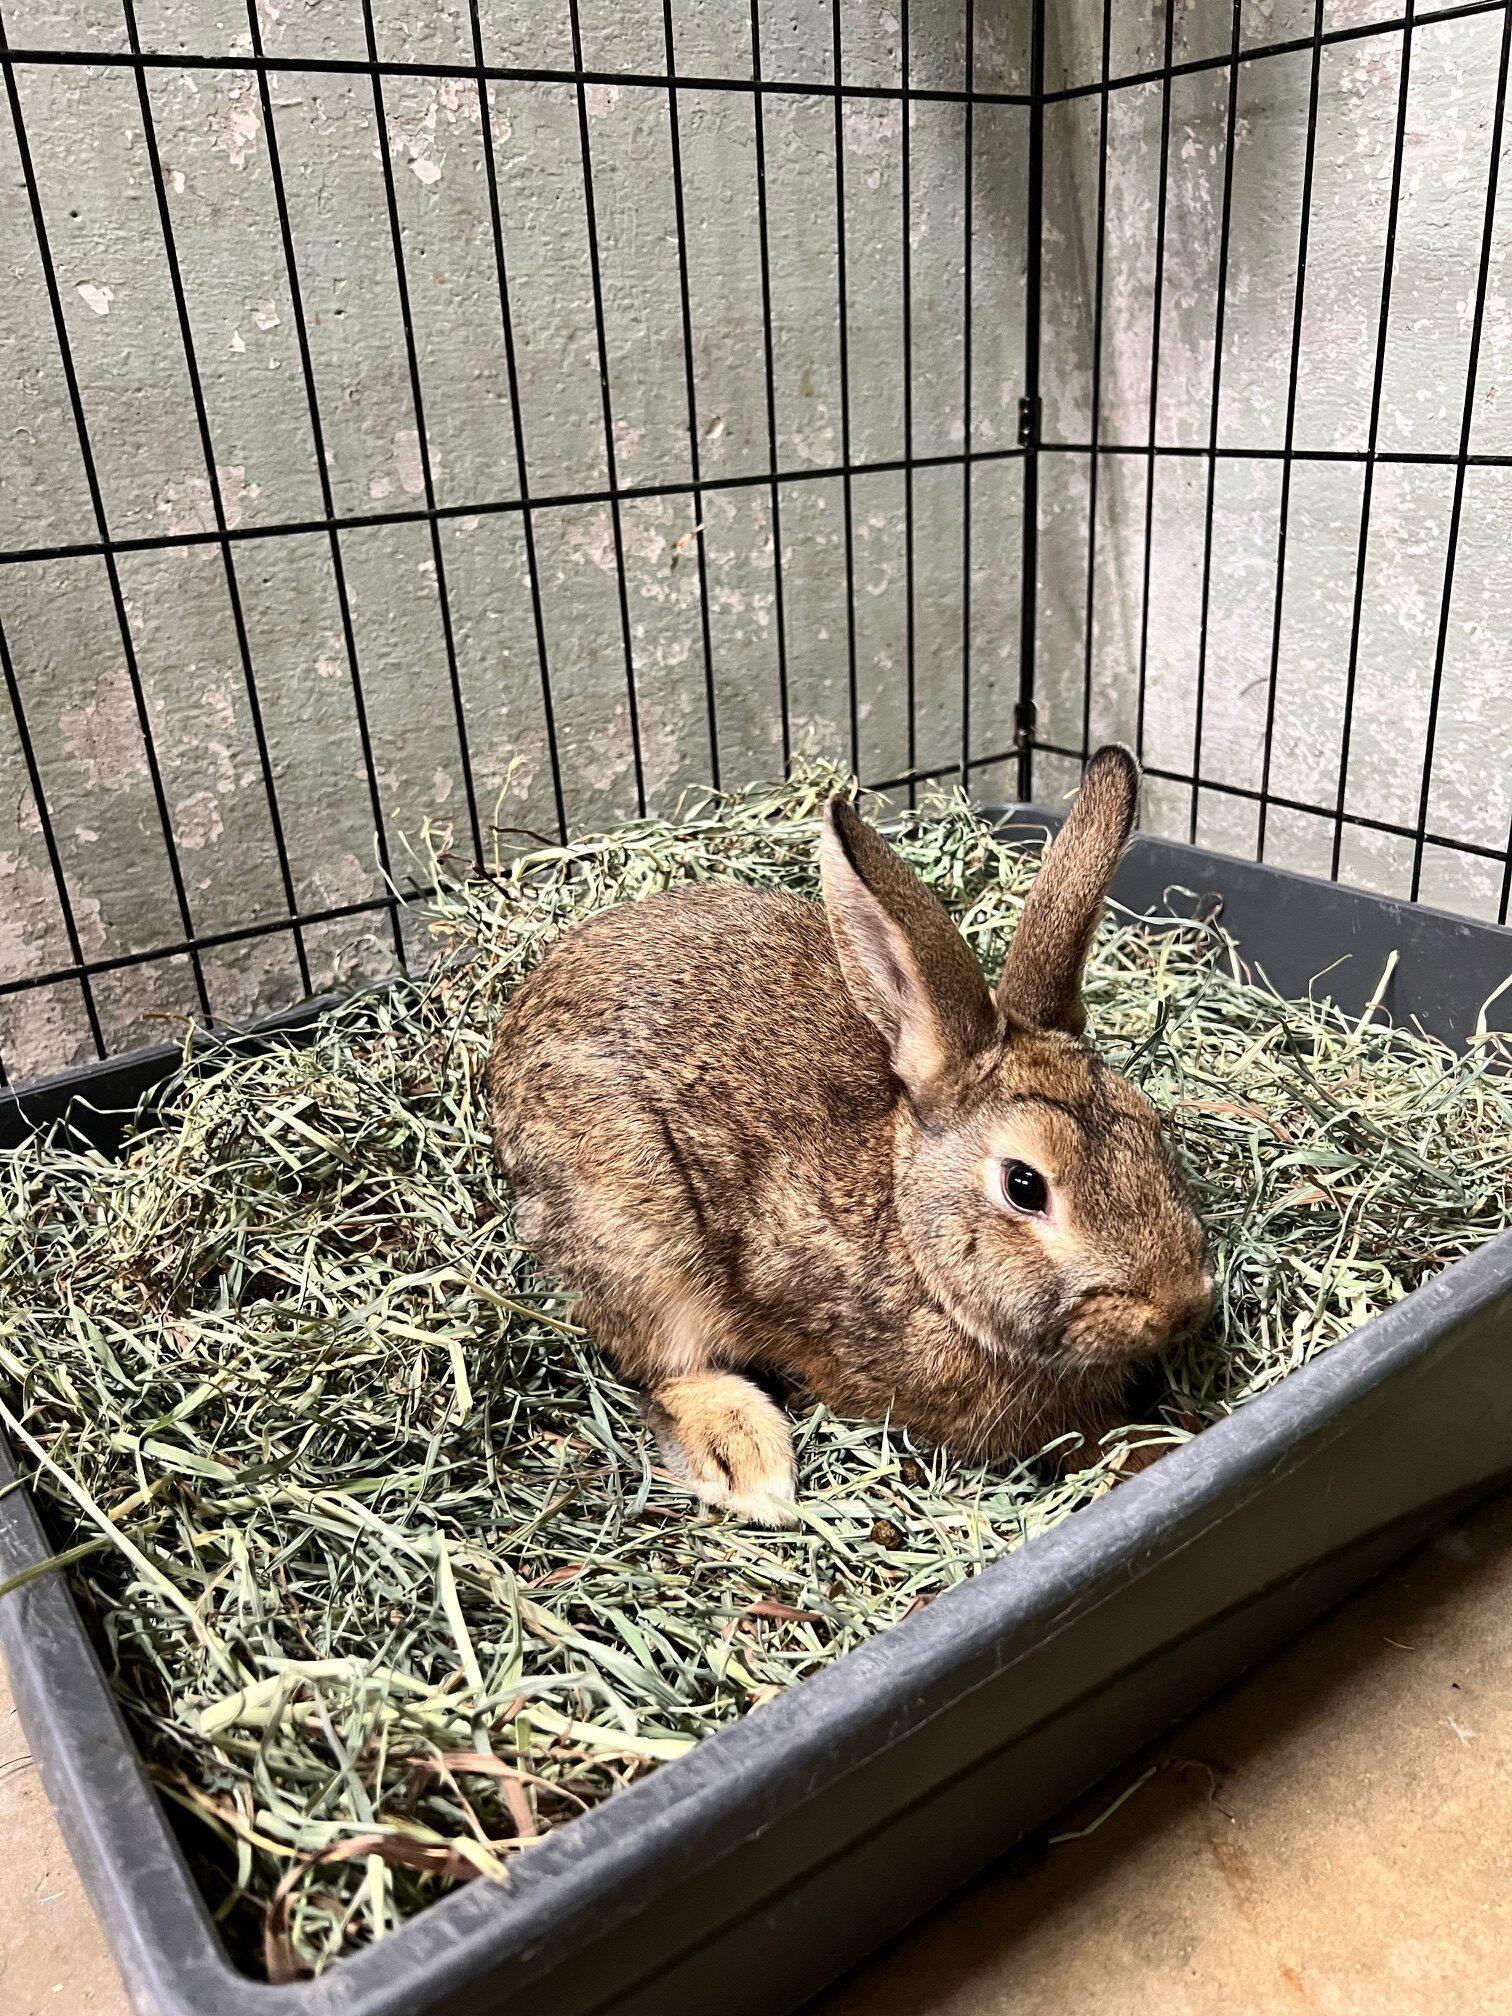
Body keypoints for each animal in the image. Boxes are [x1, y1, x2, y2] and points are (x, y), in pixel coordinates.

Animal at [488, 746, 1212, 1525]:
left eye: (1148, 1123)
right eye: (1024, 1186)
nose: (1181, 1308)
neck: (918, 1250)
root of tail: (509, 1035)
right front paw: (1147, 1452)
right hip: (636, 1242)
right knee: (659, 1366)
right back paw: (748, 1462)